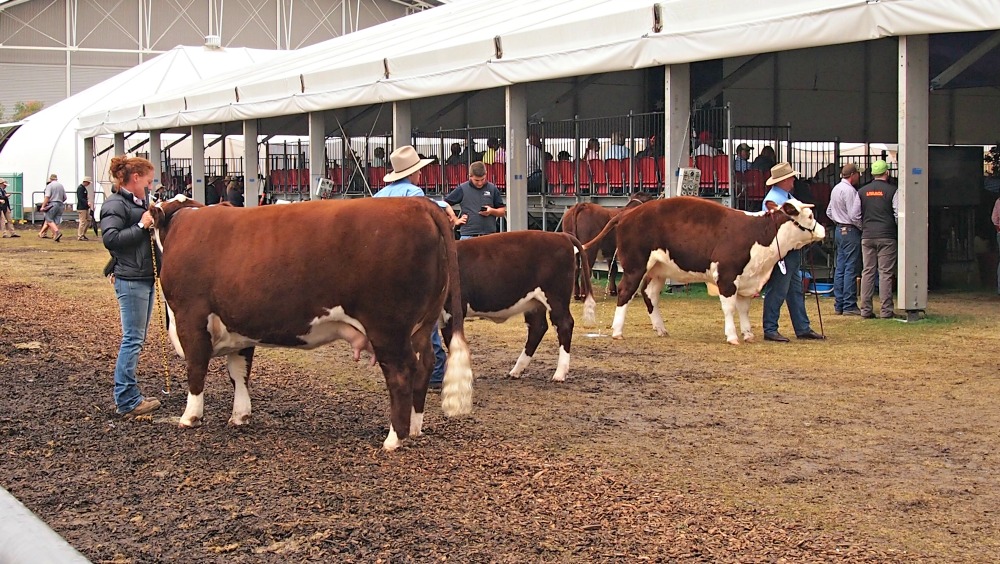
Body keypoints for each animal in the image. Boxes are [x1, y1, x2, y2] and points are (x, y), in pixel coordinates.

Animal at [150, 196, 474, 452]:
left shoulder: (190, 317)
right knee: (426, 364)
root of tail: (419, 203)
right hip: (423, 324)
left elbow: (196, 369)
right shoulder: (239, 325)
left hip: (389, 328)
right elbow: (239, 373)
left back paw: (394, 438)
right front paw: (240, 415)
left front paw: (189, 417)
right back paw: (415, 427)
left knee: (402, 372)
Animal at [444, 231, 592, 382]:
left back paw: (559, 374)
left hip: (556, 296)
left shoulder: (451, 311)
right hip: (535, 302)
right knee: (538, 327)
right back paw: (515, 371)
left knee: (564, 324)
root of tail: (562, 235)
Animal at [584, 194, 824, 344]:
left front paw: (747, 334)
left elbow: (744, 309)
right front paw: (732, 336)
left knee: (650, 295)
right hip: (635, 266)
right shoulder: (727, 277)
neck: (757, 234)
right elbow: (729, 308)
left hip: (659, 269)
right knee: (625, 292)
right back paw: (617, 332)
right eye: (810, 216)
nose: (822, 230)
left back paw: (661, 329)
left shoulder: (747, 279)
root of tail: (627, 213)